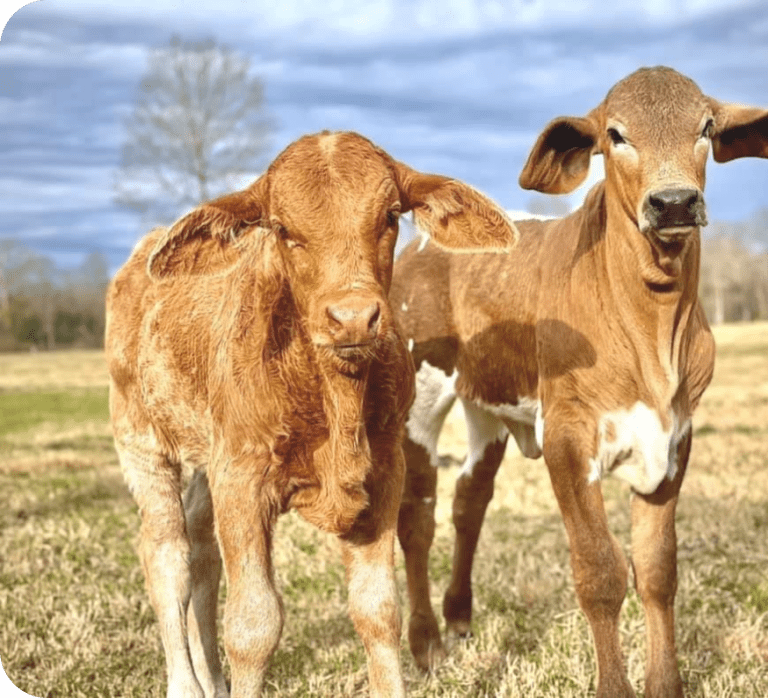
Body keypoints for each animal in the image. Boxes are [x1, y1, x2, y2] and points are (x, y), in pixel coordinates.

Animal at [105, 130, 519, 698]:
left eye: (391, 215)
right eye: (282, 229)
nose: (353, 317)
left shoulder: (383, 473)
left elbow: (377, 610)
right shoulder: (242, 478)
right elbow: (254, 624)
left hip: (208, 457)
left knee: (202, 551)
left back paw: (213, 678)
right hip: (141, 438)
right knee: (167, 555)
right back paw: (187, 683)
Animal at [391, 66, 768, 697]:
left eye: (706, 127)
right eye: (615, 134)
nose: (674, 203)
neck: (652, 330)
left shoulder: (676, 436)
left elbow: (657, 568)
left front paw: (665, 684)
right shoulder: (568, 436)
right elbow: (600, 570)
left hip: (491, 404)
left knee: (470, 500)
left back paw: (460, 618)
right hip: (422, 396)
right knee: (417, 515)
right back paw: (426, 645)